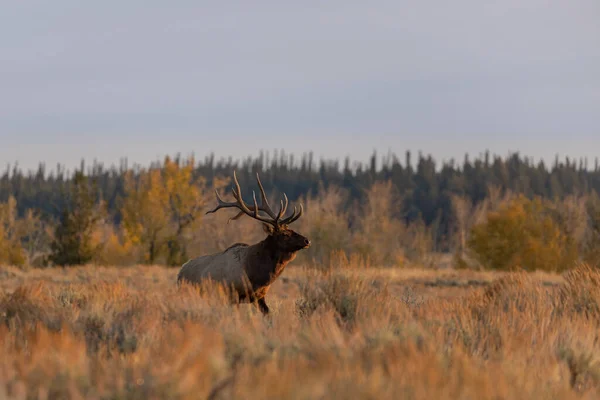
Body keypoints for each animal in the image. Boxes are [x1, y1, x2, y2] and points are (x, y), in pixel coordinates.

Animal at [176, 170, 310, 314]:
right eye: (285, 234)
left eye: (291, 229)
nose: (307, 240)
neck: (256, 275)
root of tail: (179, 273)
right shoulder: (232, 295)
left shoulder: (260, 297)